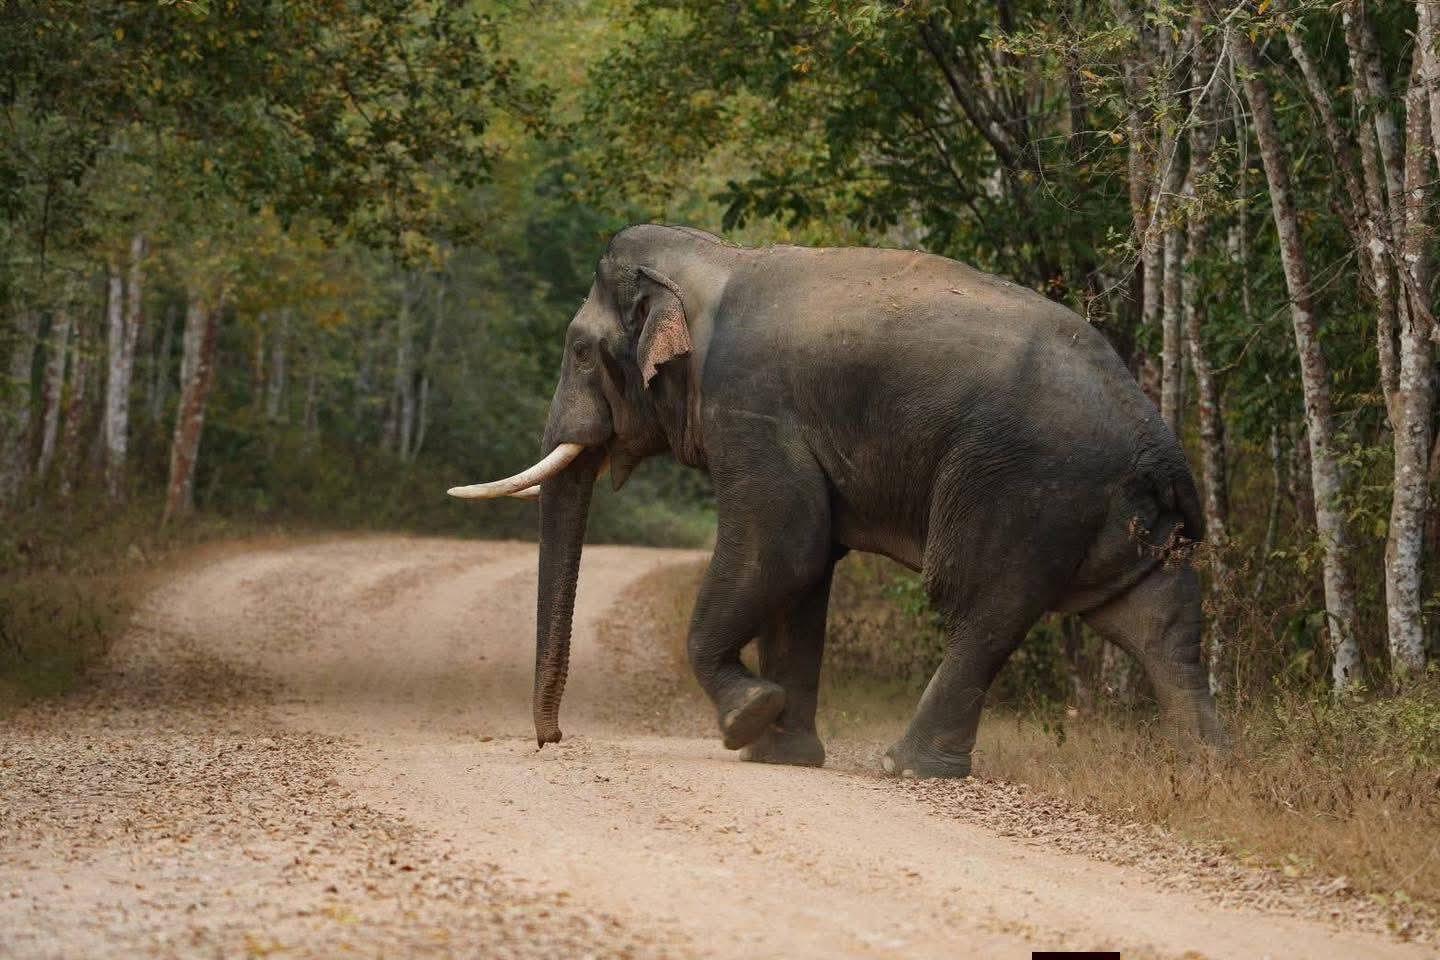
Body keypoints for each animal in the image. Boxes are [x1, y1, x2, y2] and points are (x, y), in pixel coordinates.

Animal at [450, 223, 1225, 778]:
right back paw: (1205, 775)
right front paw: (781, 753)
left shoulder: (752, 403)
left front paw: (748, 719)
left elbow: (782, 545)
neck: (716, 260)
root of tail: (1158, 441)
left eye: (581, 351)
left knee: (982, 605)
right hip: (1114, 513)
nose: (551, 739)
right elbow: (805, 569)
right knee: (1156, 621)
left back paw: (909, 767)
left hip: (1028, 487)